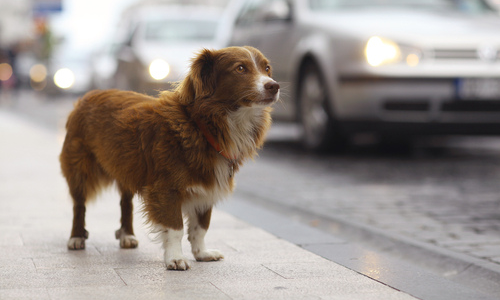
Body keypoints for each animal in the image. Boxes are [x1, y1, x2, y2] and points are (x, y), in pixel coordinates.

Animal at [59, 46, 280, 270]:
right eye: (240, 68)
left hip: (126, 166)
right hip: (80, 168)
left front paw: (202, 253)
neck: (201, 125)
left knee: (126, 203)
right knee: (79, 205)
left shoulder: (206, 188)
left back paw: (127, 235)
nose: (274, 86)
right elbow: (176, 228)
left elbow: (201, 227)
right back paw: (76, 237)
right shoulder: (166, 189)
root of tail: (88, 95)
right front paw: (175, 258)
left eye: (267, 68)